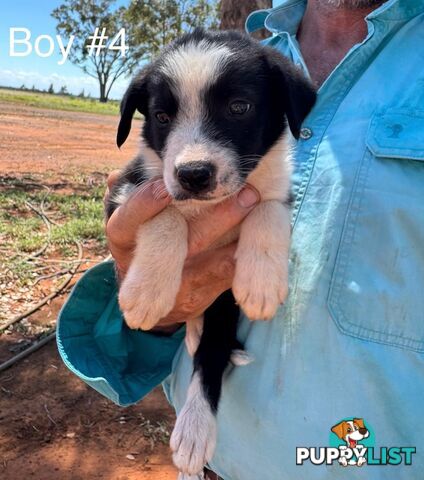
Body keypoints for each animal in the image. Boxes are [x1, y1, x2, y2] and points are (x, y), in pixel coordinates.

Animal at [106, 30, 314, 480]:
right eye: (161, 116)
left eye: (239, 107)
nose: (193, 174)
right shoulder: (128, 191)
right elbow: (168, 214)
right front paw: (146, 292)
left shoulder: (275, 189)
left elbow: (267, 207)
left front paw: (261, 281)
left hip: (221, 304)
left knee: (211, 353)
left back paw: (195, 430)